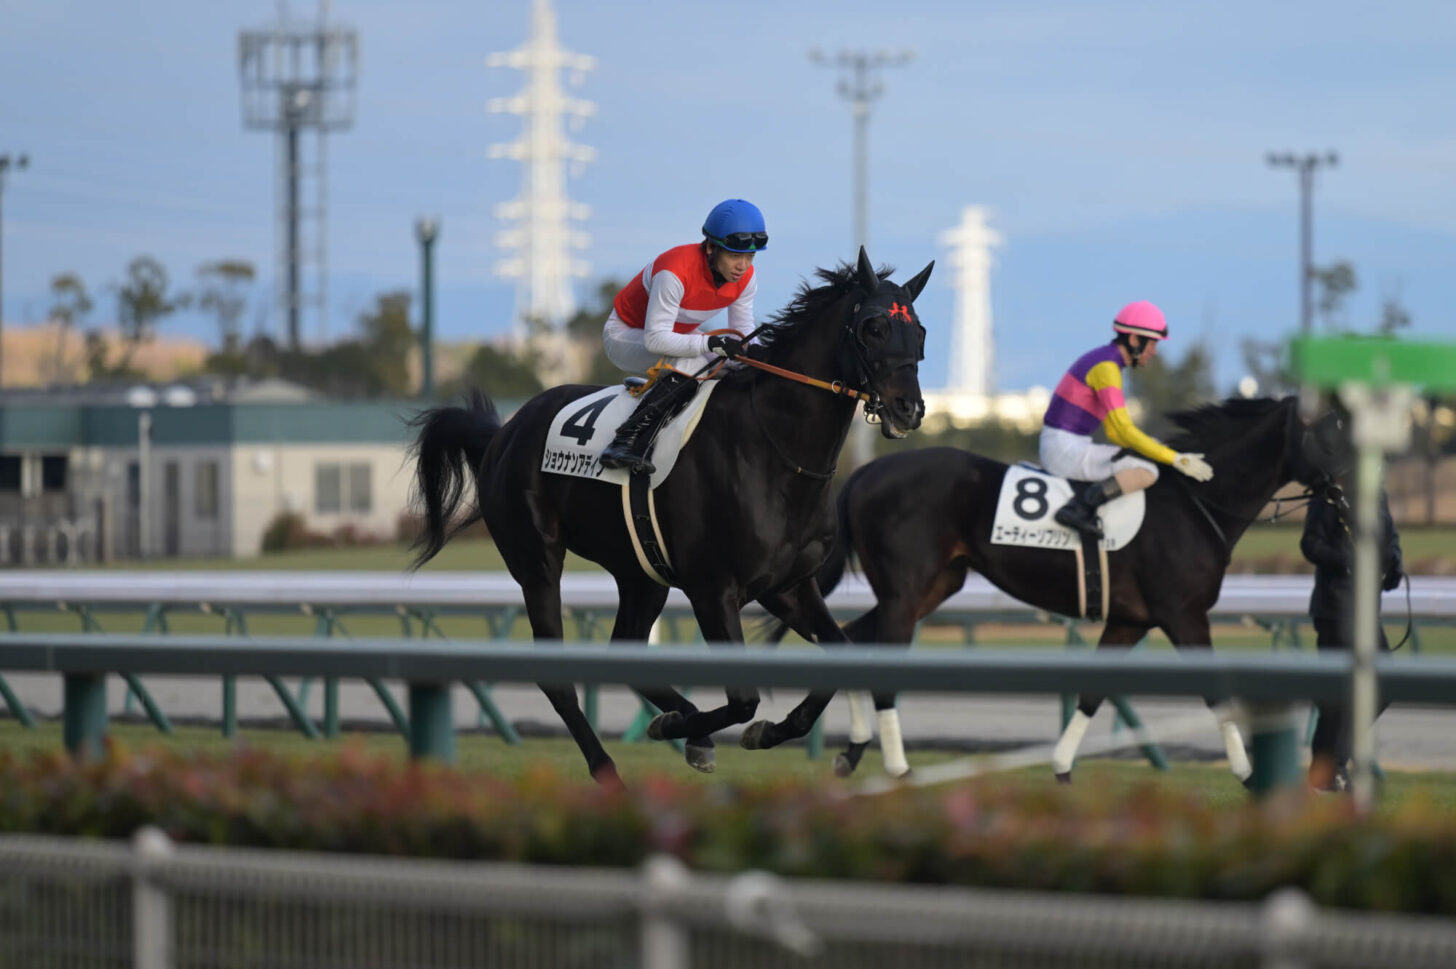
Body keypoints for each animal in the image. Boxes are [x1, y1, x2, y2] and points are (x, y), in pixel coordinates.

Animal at [410, 248, 931, 785]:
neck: (775, 450)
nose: (908, 408)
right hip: (536, 562)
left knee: (624, 652)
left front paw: (757, 731)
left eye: (919, 330)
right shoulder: (713, 590)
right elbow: (742, 700)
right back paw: (610, 767)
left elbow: (836, 663)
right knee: (557, 675)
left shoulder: (788, 587)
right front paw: (690, 727)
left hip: (641, 574)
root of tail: (502, 434)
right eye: (873, 327)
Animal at [762, 392, 1339, 779]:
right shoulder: (1184, 615)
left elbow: (1093, 693)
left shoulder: (1130, 620)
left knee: (851, 640)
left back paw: (843, 746)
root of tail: (863, 474)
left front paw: (1061, 764)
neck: (1196, 505)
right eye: (1332, 432)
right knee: (876, 662)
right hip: (906, 593)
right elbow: (1218, 694)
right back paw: (897, 765)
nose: (1345, 491)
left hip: (933, 587)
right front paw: (1248, 772)